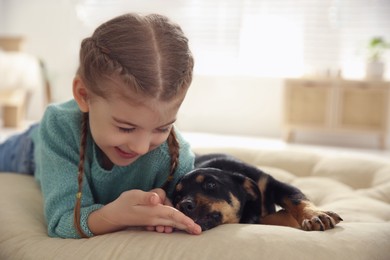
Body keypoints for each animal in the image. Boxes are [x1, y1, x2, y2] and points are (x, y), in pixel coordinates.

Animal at [172, 153, 342, 231]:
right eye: (177, 196)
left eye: (211, 184)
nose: (184, 205)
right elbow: (272, 218)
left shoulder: (274, 185)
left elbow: (297, 200)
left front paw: (316, 216)